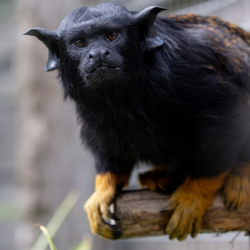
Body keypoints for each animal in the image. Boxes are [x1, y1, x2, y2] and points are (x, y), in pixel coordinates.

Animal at [24, 2, 250, 240]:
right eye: (80, 43)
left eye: (112, 36)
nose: (98, 54)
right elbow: (109, 147)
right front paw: (105, 186)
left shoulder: (189, 75)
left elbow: (228, 123)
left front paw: (194, 195)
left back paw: (241, 172)